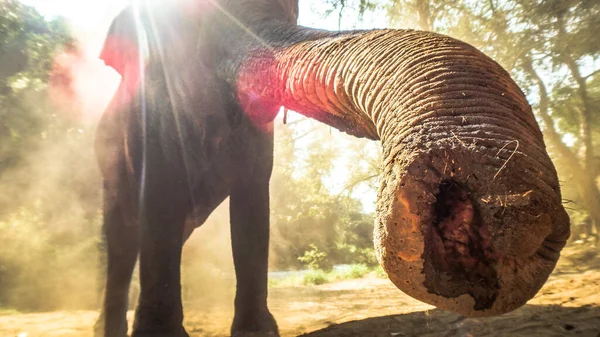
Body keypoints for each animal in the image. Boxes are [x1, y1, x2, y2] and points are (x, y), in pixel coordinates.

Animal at [94, 0, 568, 336]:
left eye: (288, 11)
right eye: (191, 31)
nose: (512, 213)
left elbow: (252, 209)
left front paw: (257, 333)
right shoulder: (145, 125)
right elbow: (160, 198)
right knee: (121, 240)